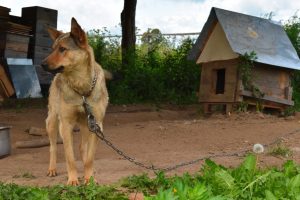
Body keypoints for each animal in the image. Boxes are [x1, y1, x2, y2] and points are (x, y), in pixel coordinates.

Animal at [41, 18, 109, 185]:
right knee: (53, 147)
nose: (42, 64)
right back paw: (52, 169)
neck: (82, 88)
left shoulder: (97, 124)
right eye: (52, 49)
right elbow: (69, 157)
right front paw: (72, 180)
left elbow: (90, 157)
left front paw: (89, 178)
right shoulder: (66, 125)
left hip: (86, 125)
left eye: (62, 49)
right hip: (52, 122)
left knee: (82, 147)